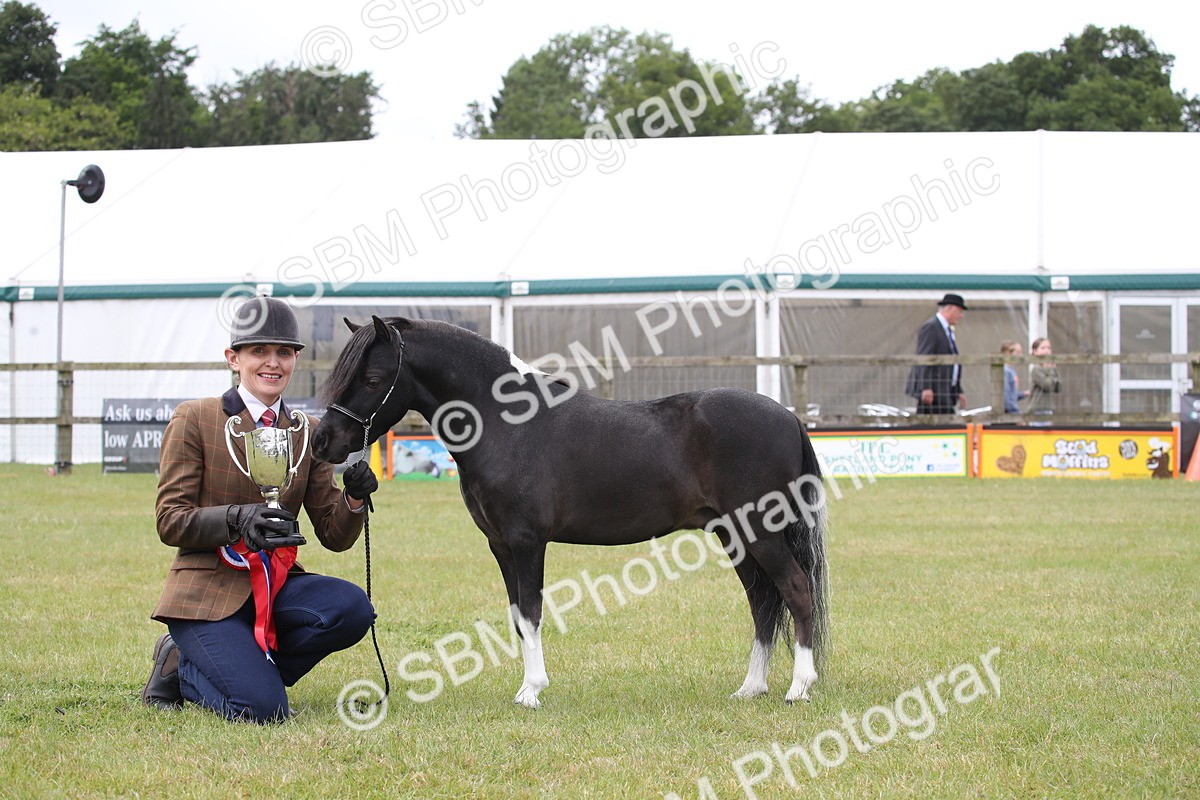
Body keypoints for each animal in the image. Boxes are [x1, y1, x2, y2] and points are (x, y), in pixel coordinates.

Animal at [311, 316, 830, 708]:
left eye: (372, 379)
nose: (322, 441)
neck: (506, 423)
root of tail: (787, 416)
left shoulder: (527, 542)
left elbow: (533, 613)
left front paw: (531, 692)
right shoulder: (500, 546)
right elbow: (518, 617)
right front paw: (528, 686)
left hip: (761, 531)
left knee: (795, 590)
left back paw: (798, 688)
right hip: (734, 535)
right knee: (763, 604)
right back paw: (751, 688)